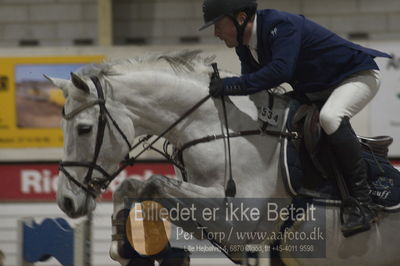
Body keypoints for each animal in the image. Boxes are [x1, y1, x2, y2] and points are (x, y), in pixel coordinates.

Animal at [48, 50, 400, 266]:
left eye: (83, 129)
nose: (66, 201)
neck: (216, 128)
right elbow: (131, 188)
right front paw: (129, 249)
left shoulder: (238, 221)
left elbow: (154, 185)